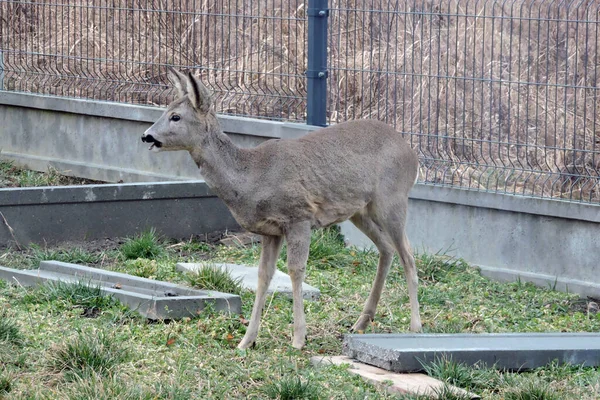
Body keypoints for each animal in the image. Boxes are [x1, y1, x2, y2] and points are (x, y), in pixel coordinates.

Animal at [142, 69, 422, 350]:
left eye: (175, 116)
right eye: (165, 109)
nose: (146, 136)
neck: (251, 176)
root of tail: (412, 153)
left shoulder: (299, 216)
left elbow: (295, 271)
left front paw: (298, 338)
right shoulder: (270, 231)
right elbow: (264, 275)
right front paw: (246, 341)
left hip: (392, 199)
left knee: (408, 254)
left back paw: (415, 326)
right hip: (359, 211)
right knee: (386, 249)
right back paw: (361, 322)